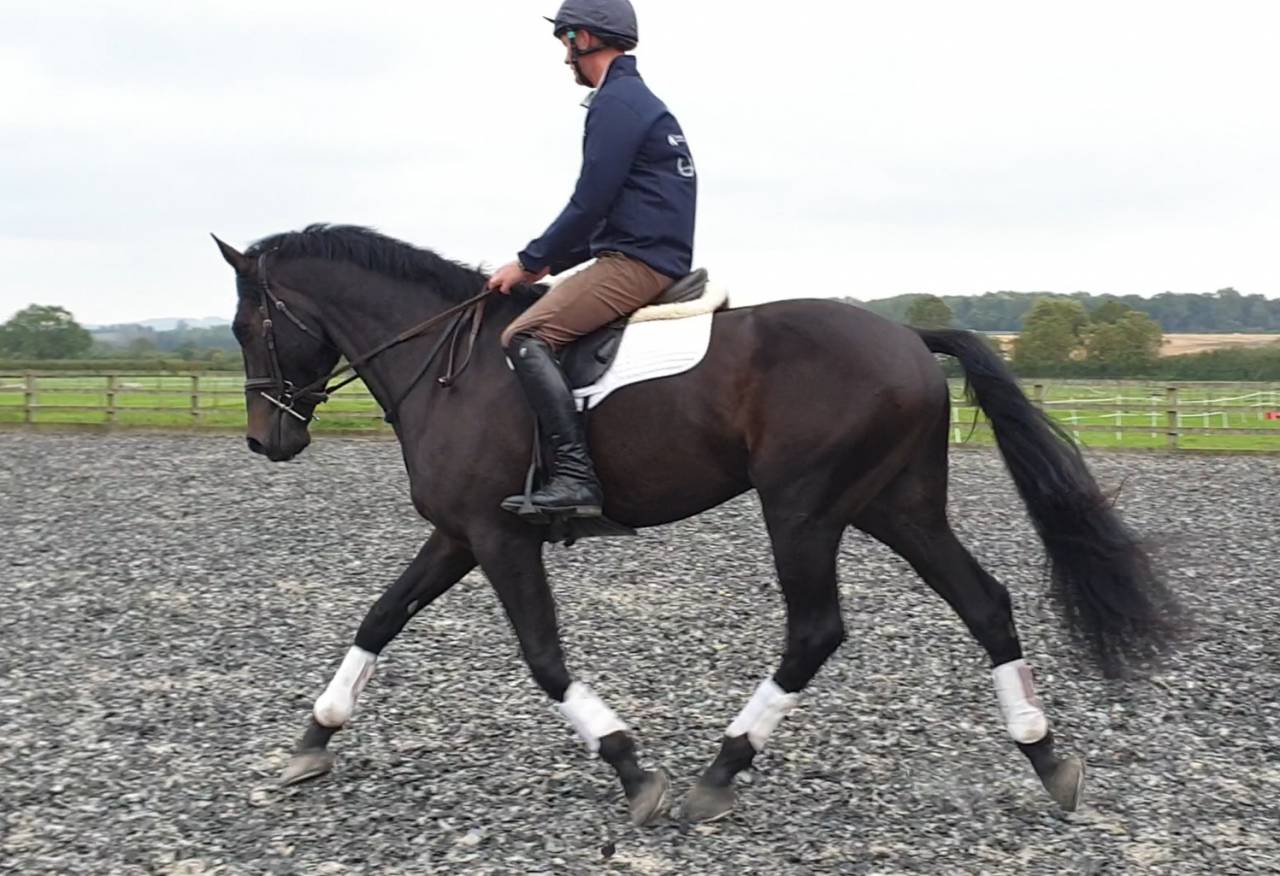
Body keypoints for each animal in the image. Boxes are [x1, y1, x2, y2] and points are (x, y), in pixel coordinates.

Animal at [213, 224, 1180, 825]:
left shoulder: (498, 538)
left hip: (804, 507)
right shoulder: (458, 536)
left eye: (247, 324)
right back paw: (1046, 757)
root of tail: (910, 340)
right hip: (895, 505)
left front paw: (632, 767)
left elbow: (543, 658)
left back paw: (720, 772)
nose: (267, 440)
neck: (448, 366)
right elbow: (380, 616)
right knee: (985, 604)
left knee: (816, 630)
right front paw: (312, 739)